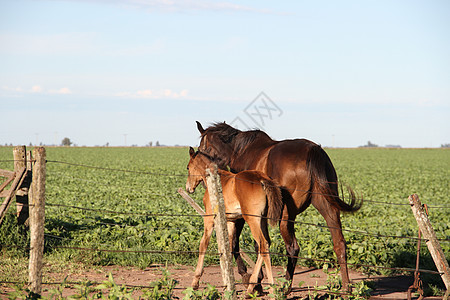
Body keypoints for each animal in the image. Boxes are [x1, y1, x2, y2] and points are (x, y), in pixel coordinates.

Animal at [185, 146, 284, 294]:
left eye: (188, 167)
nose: (188, 188)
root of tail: (261, 178)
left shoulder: (209, 219)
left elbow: (203, 244)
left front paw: (195, 282)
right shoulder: (231, 221)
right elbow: (228, 248)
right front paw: (228, 284)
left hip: (252, 220)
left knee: (263, 244)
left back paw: (270, 288)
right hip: (262, 220)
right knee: (266, 243)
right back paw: (251, 287)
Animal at [197, 120, 362, 292]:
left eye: (201, 148)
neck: (240, 151)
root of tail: (313, 151)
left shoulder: (245, 211)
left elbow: (240, 242)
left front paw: (251, 278)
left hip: (286, 215)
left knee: (293, 247)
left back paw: (286, 286)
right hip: (327, 206)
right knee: (339, 243)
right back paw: (346, 287)